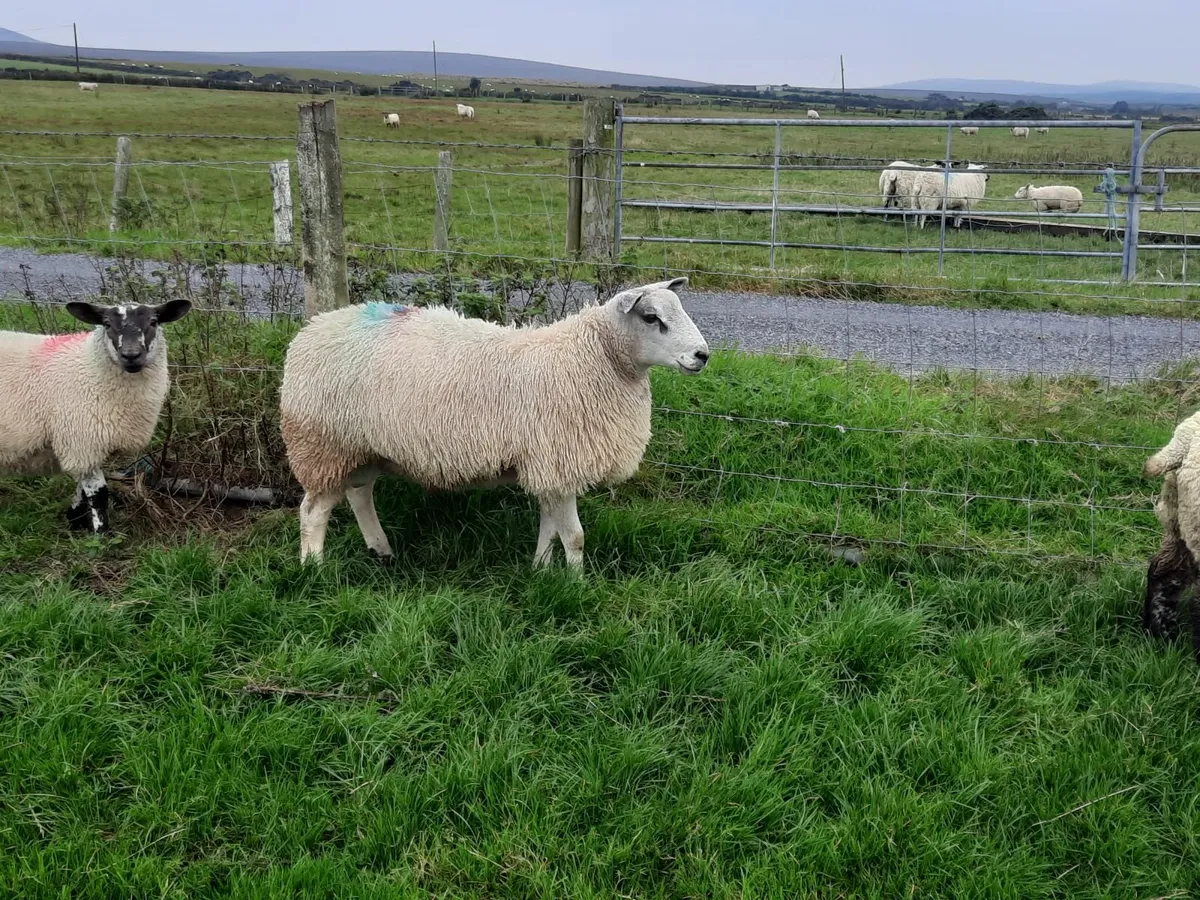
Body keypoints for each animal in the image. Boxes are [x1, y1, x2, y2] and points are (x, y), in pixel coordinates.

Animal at [0, 300, 192, 533]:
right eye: (107, 324)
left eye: (153, 322)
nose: (131, 355)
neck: (89, 366)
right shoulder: (82, 441)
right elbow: (99, 494)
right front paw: (101, 533)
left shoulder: (85, 447)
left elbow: (82, 491)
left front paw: (74, 520)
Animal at [278, 278, 710, 568]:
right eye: (652, 317)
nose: (703, 355)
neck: (591, 357)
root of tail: (314, 327)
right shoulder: (558, 461)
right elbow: (574, 537)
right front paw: (577, 585)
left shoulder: (548, 466)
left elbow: (550, 528)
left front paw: (540, 570)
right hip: (322, 443)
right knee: (313, 511)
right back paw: (313, 568)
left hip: (362, 445)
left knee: (359, 494)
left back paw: (382, 551)